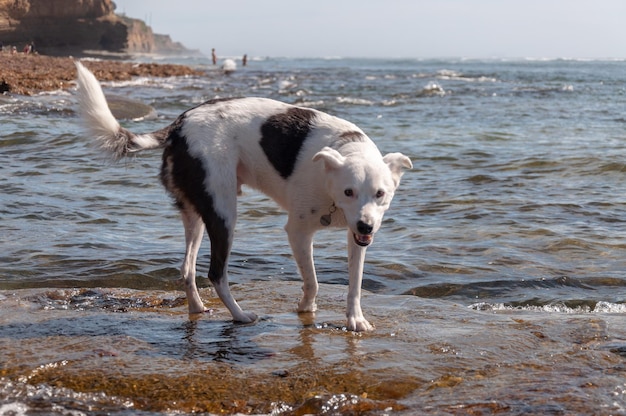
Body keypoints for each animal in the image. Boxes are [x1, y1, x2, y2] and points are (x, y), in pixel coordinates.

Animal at [73, 60, 412, 332]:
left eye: (380, 194)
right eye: (348, 191)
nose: (367, 226)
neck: (343, 150)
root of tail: (179, 124)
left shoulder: (356, 237)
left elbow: (355, 283)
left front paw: (355, 319)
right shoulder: (298, 232)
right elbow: (312, 280)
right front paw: (306, 307)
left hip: (197, 213)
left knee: (187, 268)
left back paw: (197, 308)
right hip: (224, 213)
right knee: (216, 273)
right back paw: (239, 315)